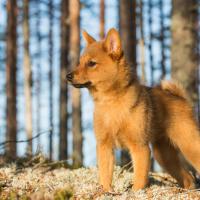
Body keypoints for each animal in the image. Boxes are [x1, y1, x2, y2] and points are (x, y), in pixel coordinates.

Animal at [67, 27, 200, 191]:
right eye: (79, 63)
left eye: (91, 63)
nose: (68, 76)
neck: (111, 102)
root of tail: (180, 98)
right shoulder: (104, 146)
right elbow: (105, 175)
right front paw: (106, 191)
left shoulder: (139, 148)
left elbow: (139, 179)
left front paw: (136, 192)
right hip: (163, 155)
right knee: (187, 177)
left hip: (189, 145)